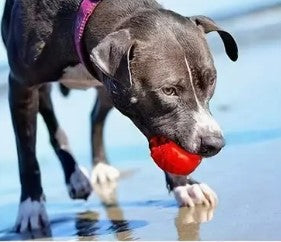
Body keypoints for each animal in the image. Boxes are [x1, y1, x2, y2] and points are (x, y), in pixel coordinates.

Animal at [1, 0, 237, 233]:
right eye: (168, 90)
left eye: (211, 81)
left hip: (107, 90)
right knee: (54, 127)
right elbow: (27, 155)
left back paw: (100, 166)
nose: (214, 143)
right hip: (45, 91)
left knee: (95, 117)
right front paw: (31, 207)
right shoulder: (21, 86)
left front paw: (185, 186)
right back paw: (75, 177)